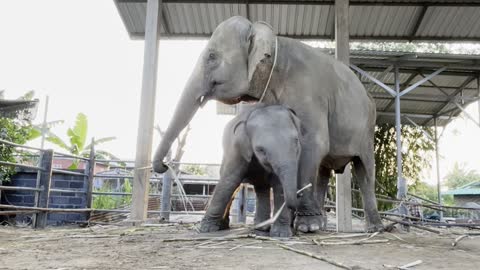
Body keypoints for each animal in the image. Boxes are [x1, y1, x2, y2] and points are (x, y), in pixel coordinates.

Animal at [198, 103, 300, 236]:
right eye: (261, 150)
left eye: (296, 141)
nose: (299, 196)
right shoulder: (236, 148)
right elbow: (229, 181)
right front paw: (206, 229)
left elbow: (278, 185)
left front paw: (281, 235)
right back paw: (224, 226)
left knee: (261, 187)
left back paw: (261, 227)